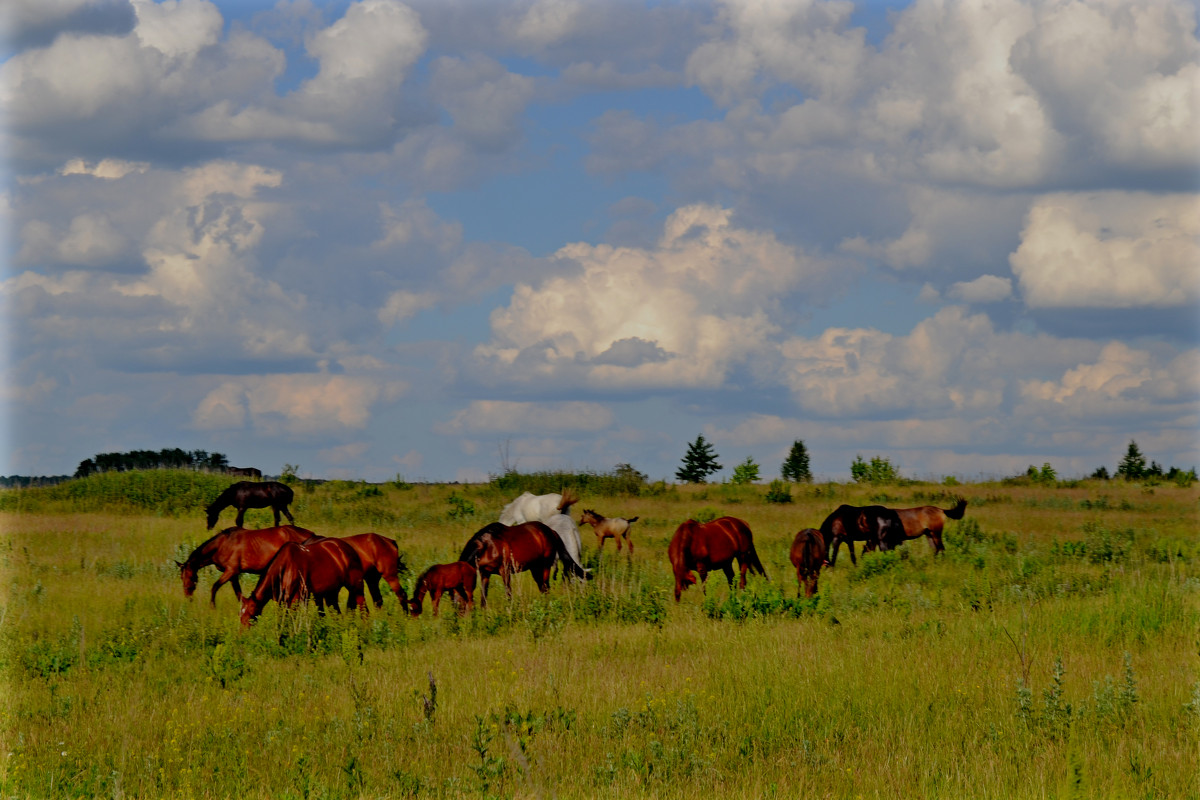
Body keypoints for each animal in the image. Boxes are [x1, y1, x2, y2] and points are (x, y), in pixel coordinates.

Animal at [175, 525, 316, 606]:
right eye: (181, 578)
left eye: (190, 576)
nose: (188, 596)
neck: (222, 544)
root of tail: (311, 534)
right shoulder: (233, 574)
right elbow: (238, 593)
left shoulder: (231, 571)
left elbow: (215, 587)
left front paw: (212, 607)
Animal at [456, 520, 588, 606]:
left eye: (457, 598)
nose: (460, 619)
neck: (487, 546)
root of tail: (552, 531)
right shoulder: (485, 573)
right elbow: (484, 597)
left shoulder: (505, 571)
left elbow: (508, 593)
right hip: (535, 568)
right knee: (542, 587)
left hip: (545, 566)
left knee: (545, 587)